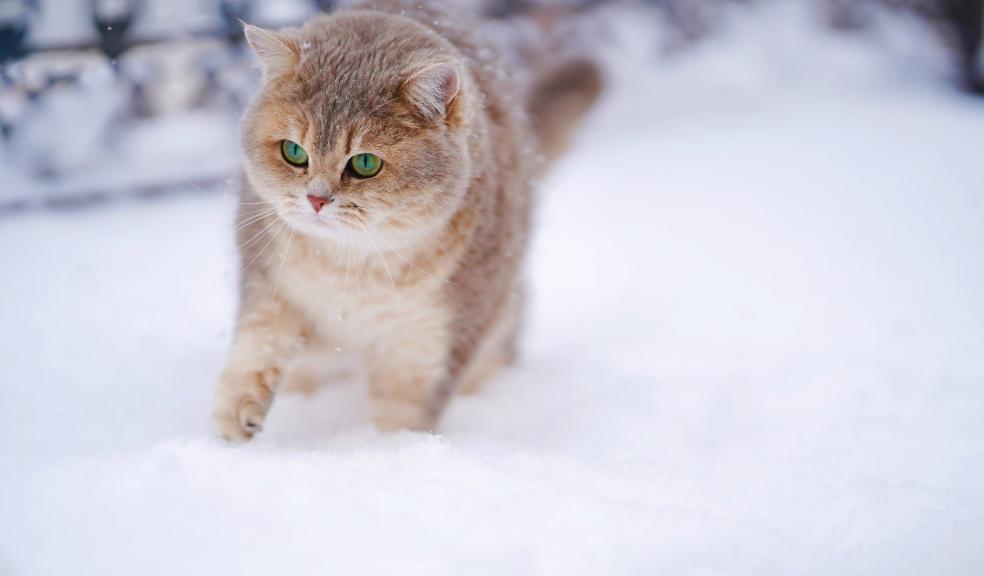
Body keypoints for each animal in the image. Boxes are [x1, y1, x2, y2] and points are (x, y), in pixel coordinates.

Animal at [213, 2, 600, 440]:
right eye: (293, 152)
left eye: (365, 163)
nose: (316, 199)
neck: (351, 265)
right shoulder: (269, 279)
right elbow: (257, 343)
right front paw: (235, 413)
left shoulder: (429, 339)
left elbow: (403, 414)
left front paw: (389, 451)